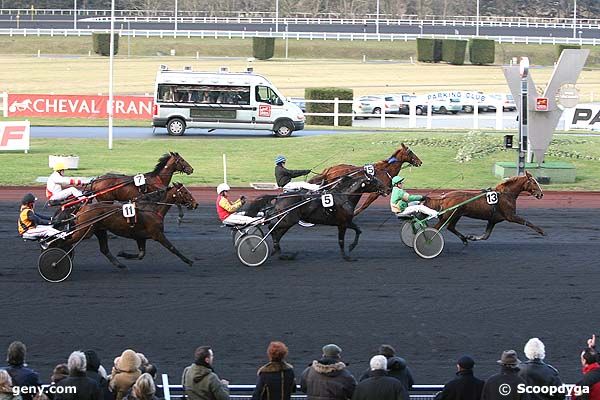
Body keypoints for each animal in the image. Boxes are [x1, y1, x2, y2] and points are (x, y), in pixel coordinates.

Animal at [65, 184, 198, 268]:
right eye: (185, 192)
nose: (195, 204)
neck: (151, 209)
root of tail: (82, 208)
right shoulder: (158, 234)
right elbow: (172, 248)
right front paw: (189, 261)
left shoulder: (141, 237)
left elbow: (141, 254)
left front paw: (123, 254)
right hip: (85, 231)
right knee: (67, 241)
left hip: (99, 230)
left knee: (104, 249)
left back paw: (119, 264)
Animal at [246, 173, 386, 260]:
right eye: (374, 180)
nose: (387, 188)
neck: (344, 196)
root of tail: (279, 197)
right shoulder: (343, 223)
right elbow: (341, 240)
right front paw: (346, 256)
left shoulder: (346, 222)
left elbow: (358, 230)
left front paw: (351, 247)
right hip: (288, 220)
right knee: (273, 229)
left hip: (286, 220)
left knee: (276, 232)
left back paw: (281, 254)